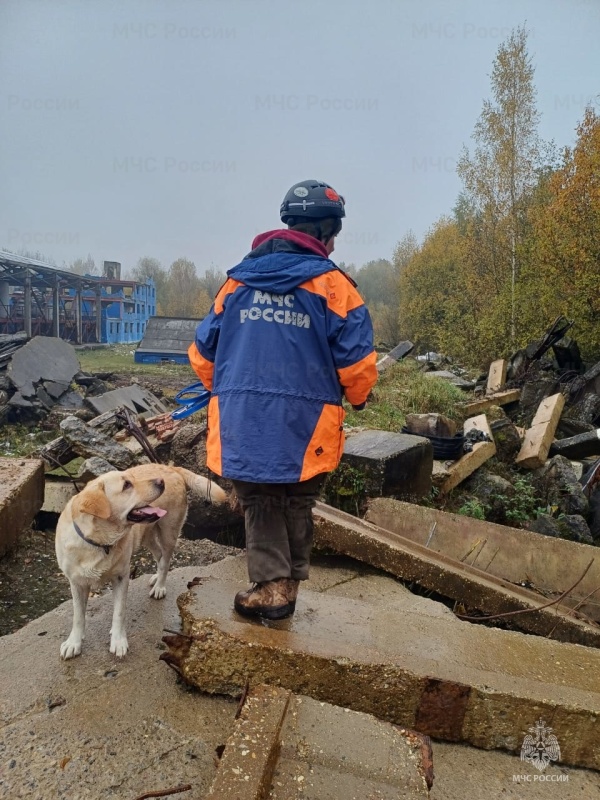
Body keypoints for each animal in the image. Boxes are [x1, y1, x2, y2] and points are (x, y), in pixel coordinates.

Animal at [55, 466, 227, 660]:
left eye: (130, 479)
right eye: (126, 485)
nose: (160, 481)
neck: (99, 541)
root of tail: (170, 467)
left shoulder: (121, 577)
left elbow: (119, 612)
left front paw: (118, 641)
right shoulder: (76, 583)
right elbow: (78, 616)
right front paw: (73, 643)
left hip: (168, 532)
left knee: (165, 561)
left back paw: (159, 586)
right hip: (147, 535)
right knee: (159, 556)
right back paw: (155, 578)